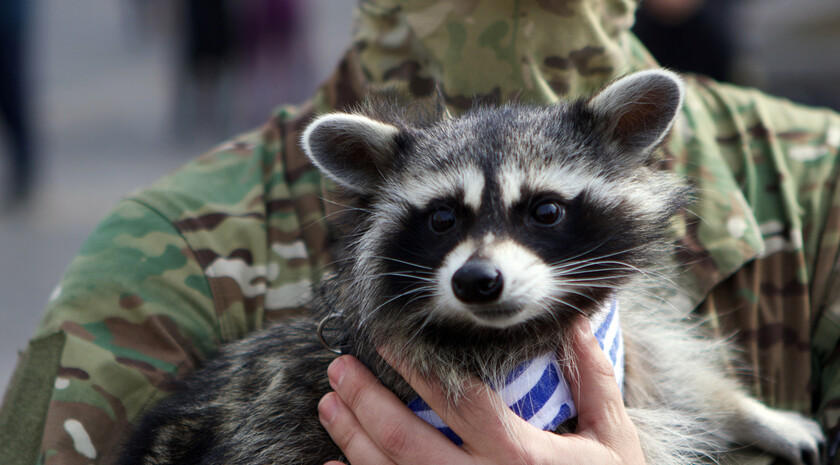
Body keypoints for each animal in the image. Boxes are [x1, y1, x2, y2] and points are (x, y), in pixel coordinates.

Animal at [121, 70, 824, 464]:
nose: (477, 282)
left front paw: (745, 409)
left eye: (545, 210)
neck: (510, 336)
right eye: (441, 219)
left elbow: (664, 364)